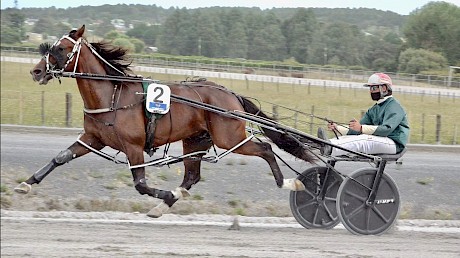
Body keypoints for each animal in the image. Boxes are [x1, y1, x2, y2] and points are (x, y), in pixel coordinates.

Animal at [14, 24, 316, 218]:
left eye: (62, 48)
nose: (36, 71)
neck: (112, 95)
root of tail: (230, 94)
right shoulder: (93, 139)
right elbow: (60, 157)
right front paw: (26, 184)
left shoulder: (133, 147)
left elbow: (140, 184)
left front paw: (166, 195)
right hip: (196, 140)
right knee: (192, 176)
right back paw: (164, 206)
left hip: (229, 137)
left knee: (265, 149)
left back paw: (291, 184)